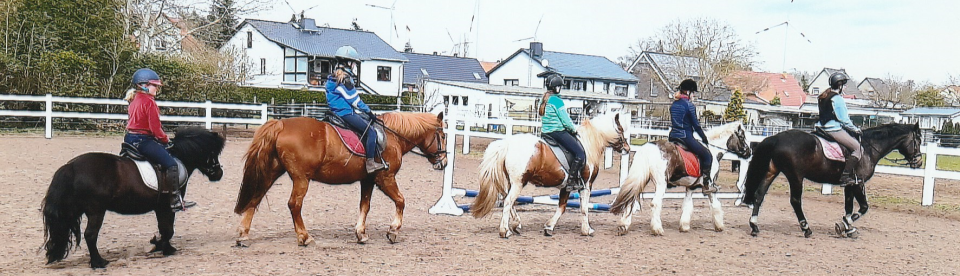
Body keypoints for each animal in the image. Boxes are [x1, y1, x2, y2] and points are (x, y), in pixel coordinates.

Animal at [41, 128, 227, 268]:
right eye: (212, 152)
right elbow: (168, 230)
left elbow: (164, 229)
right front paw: (163, 247)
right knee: (90, 235)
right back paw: (99, 263)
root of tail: (71, 166)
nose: (219, 173)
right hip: (96, 211)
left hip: (74, 212)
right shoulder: (168, 206)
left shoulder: (160, 207)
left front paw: (160, 245)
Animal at [232, 112, 446, 246]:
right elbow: (401, 201)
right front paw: (393, 231)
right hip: (301, 179)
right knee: (294, 205)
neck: (392, 137)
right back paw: (305, 237)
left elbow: (364, 206)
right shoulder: (385, 178)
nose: (443, 162)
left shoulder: (367, 180)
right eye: (443, 135)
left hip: (271, 171)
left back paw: (243, 235)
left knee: (256, 198)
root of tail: (281, 124)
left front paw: (361, 233)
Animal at [470, 112, 632, 237]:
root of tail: (508, 144)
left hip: (512, 182)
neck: (588, 144)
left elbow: (562, 207)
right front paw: (587, 230)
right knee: (508, 201)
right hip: (518, 182)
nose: (628, 149)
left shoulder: (566, 187)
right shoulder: (586, 185)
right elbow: (584, 208)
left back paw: (516, 224)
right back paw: (505, 231)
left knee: (507, 201)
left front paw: (549, 227)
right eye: (621, 131)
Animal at [612, 122, 752, 236]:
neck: (712, 150)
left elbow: (687, 205)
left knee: (631, 199)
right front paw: (719, 226)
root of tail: (650, 147)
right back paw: (657, 229)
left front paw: (684, 226)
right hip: (661, 184)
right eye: (742, 137)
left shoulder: (690, 187)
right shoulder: (710, 186)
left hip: (642, 179)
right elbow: (716, 204)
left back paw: (623, 226)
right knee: (655, 203)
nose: (749, 153)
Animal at [744, 123, 924, 237]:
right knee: (795, 201)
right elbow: (863, 207)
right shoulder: (858, 183)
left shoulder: (849, 185)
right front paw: (844, 225)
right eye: (918, 141)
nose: (919, 162)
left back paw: (754, 226)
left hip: (771, 171)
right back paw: (806, 229)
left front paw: (848, 228)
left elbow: (849, 207)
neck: (868, 148)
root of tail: (776, 138)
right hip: (796, 176)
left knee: (759, 195)